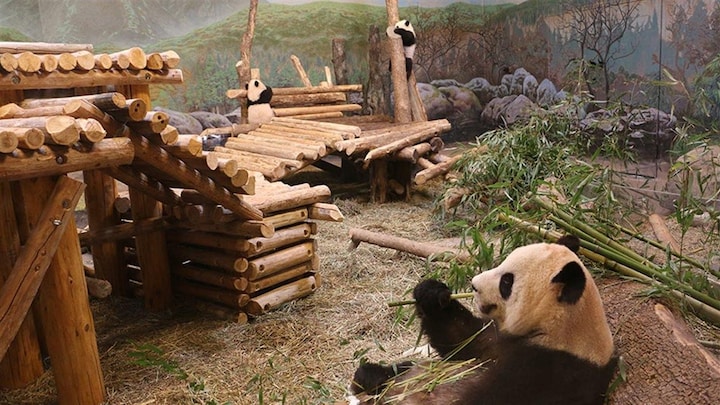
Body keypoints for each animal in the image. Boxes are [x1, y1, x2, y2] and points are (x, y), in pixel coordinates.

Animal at [350, 235, 618, 405]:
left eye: (507, 282)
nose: (474, 285)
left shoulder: (553, 370)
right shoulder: (500, 340)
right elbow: (464, 341)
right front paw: (432, 293)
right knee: (398, 370)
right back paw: (369, 376)